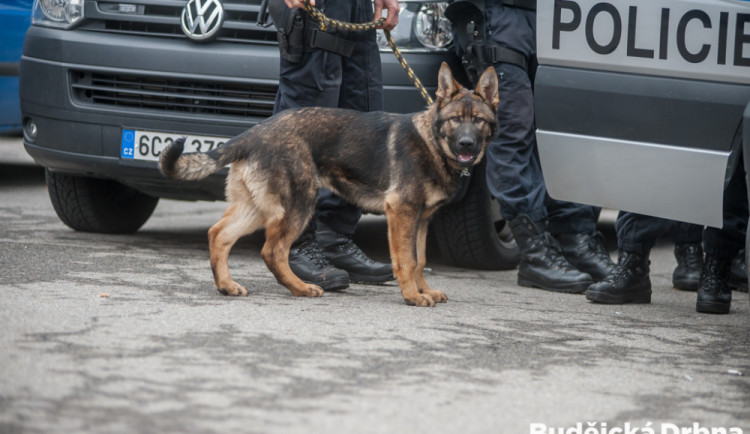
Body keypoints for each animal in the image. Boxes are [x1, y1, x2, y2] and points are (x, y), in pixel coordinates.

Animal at [159, 62, 500, 306]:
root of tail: (255, 132)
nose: (467, 145)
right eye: (456, 120)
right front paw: (412, 296)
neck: (432, 142)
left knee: (219, 234)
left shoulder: (422, 220)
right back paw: (300, 288)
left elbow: (420, 260)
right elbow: (406, 259)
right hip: (300, 203)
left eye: (478, 121)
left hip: (257, 207)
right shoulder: (402, 212)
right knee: (273, 250)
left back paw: (226, 285)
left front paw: (424, 290)